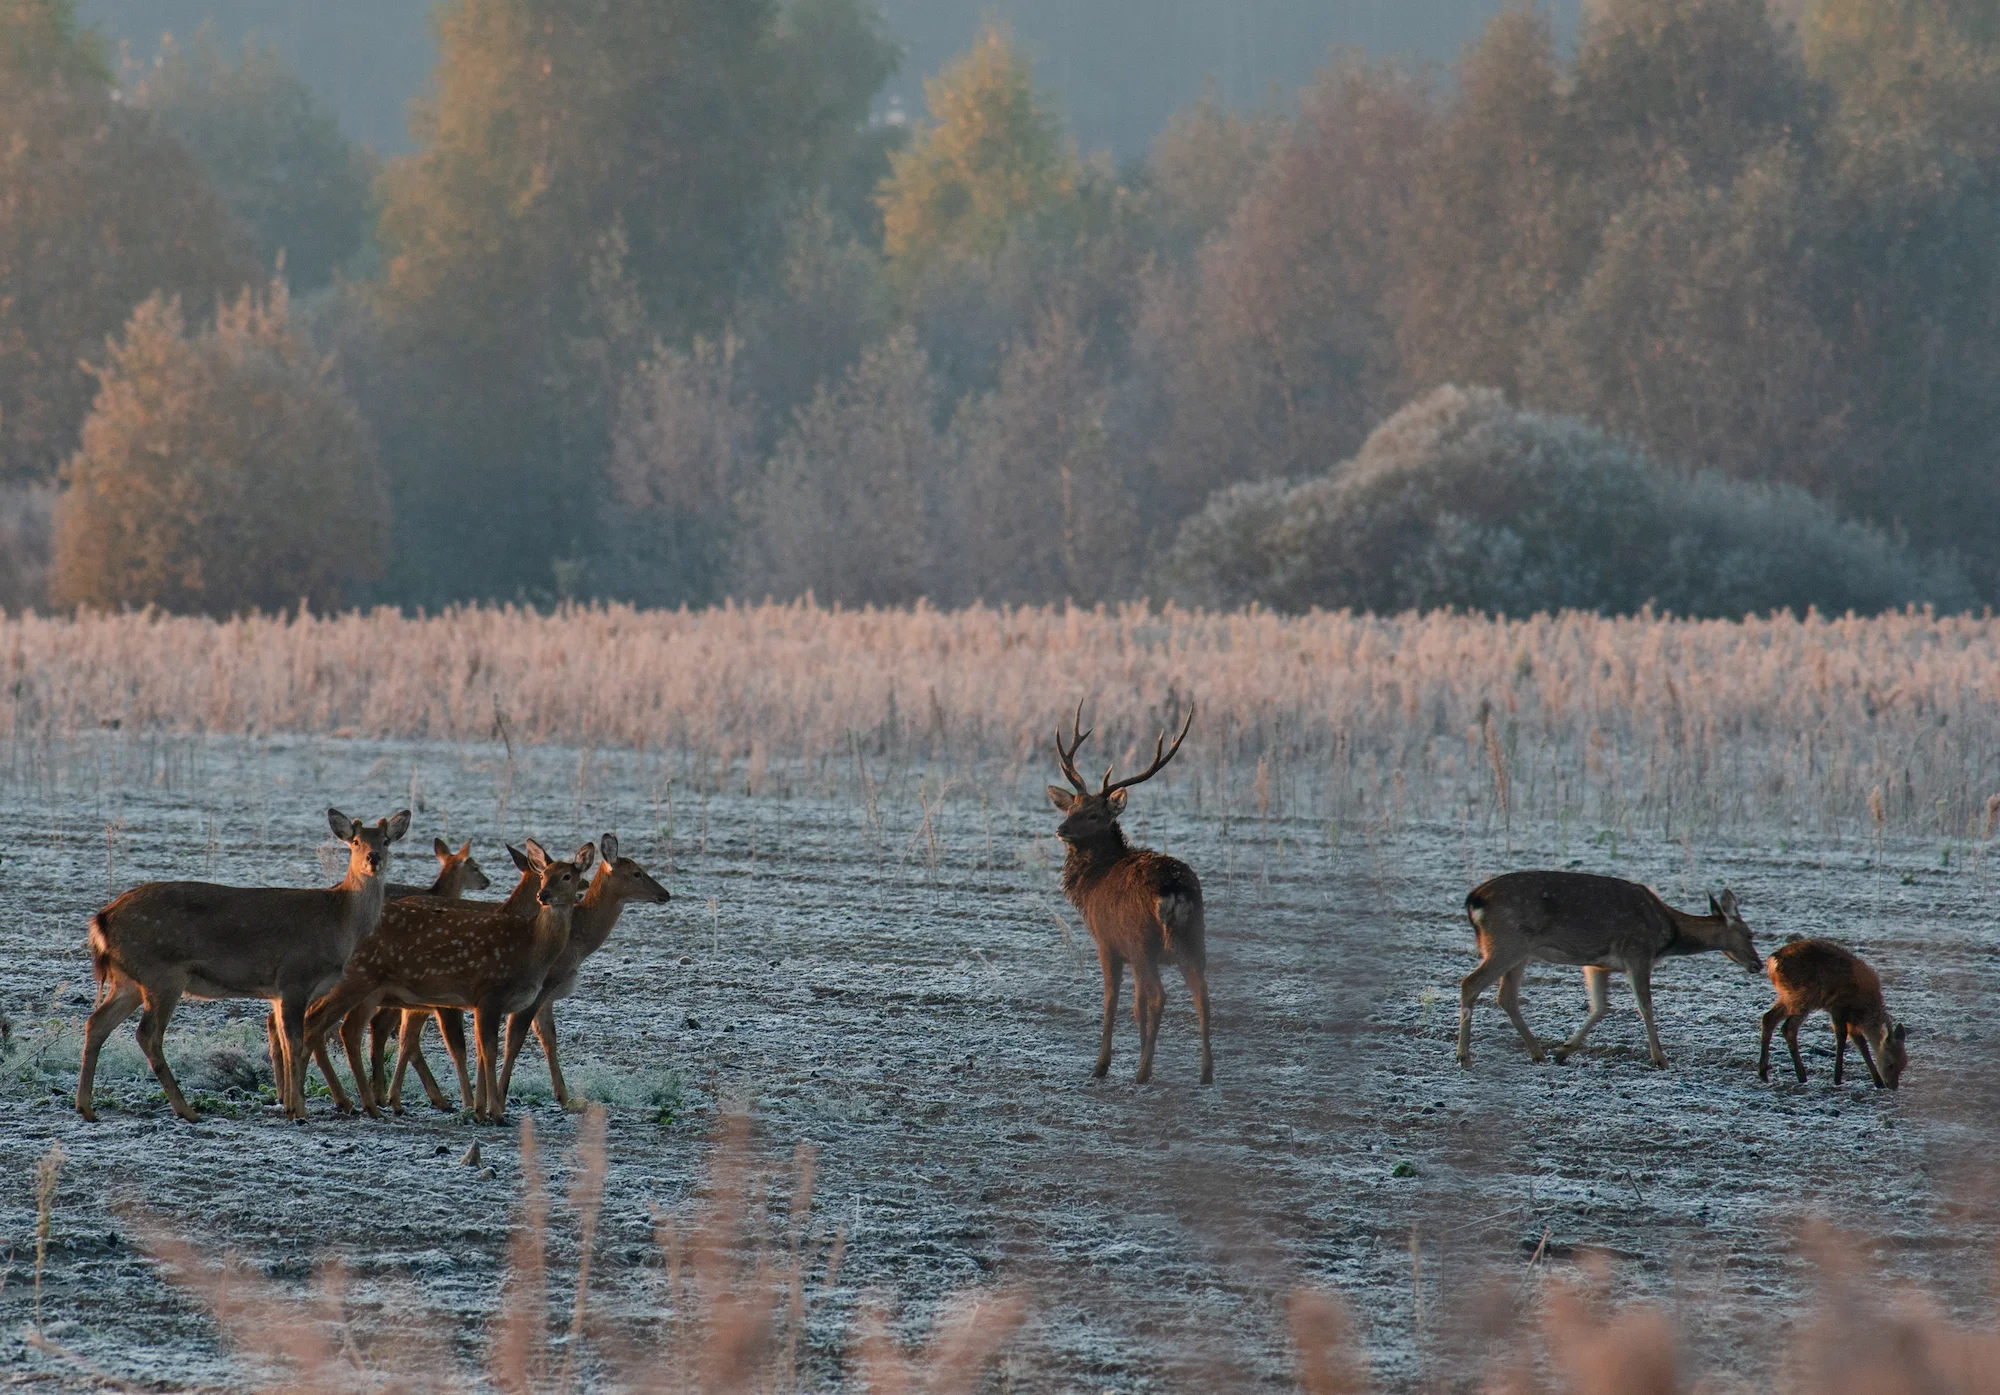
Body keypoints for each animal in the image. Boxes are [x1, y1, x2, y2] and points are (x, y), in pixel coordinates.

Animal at [77, 807, 411, 1122]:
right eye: (355, 842)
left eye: (385, 841)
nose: (373, 858)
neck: (341, 923)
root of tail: (101, 920)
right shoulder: (296, 976)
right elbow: (295, 1041)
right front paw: (299, 1111)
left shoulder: (278, 991)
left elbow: (283, 1040)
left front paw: (288, 1104)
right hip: (162, 973)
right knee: (148, 1034)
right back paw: (186, 1110)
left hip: (129, 979)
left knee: (96, 1023)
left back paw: (86, 1108)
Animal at [303, 841, 592, 1122]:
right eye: (543, 875)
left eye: (567, 876)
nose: (544, 895)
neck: (531, 949)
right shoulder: (489, 993)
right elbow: (487, 1051)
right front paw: (493, 1112)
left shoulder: (482, 1003)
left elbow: (480, 1050)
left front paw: (480, 1110)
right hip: (357, 978)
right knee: (323, 1023)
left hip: (366, 988)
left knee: (341, 1027)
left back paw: (360, 1103)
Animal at [1048, 701, 1212, 1085]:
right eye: (1071, 807)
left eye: (1095, 814)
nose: (1061, 829)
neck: (1093, 882)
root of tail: (1173, 890)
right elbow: (1136, 1007)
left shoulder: (1108, 941)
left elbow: (1112, 1002)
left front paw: (1101, 1065)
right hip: (1194, 937)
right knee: (1202, 994)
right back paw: (1205, 1073)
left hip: (1142, 941)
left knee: (1160, 997)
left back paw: (1143, 1073)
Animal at [1457, 871, 1762, 1070]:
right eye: (1750, 934)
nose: (1757, 965)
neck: (1669, 933)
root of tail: (1474, 900)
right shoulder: (1638, 952)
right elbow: (1645, 1006)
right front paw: (1661, 1059)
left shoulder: (1597, 963)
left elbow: (1600, 1006)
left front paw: (1564, 1050)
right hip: (1508, 943)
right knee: (1470, 983)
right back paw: (1464, 1056)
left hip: (1519, 951)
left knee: (1506, 996)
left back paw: (1539, 1054)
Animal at [1759, 937, 1908, 1089]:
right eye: (1890, 1064)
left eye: (1904, 1065)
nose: (1893, 1086)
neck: (1864, 1008)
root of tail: (1773, 961)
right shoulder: (1838, 1007)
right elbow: (1842, 1037)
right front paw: (1837, 1078)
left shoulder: (1852, 1020)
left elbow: (1861, 1044)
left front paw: (1877, 1082)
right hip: (1802, 996)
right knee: (1788, 1027)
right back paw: (1801, 1076)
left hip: (1787, 996)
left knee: (1769, 1017)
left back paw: (1764, 1073)